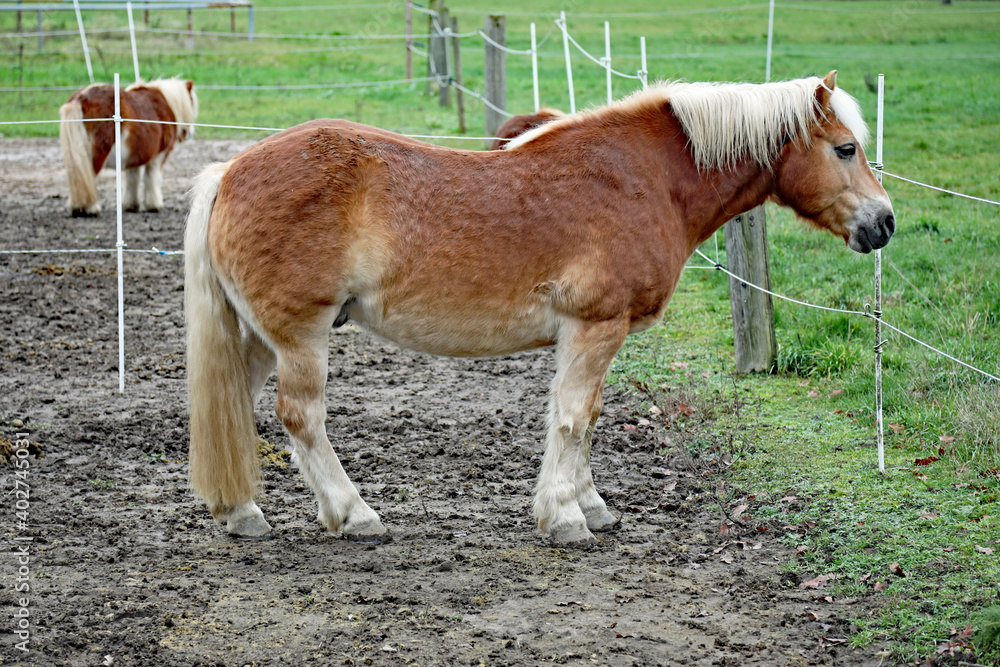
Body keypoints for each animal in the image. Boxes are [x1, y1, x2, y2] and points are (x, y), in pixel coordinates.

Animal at [59, 77, 198, 217]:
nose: (190, 133)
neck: (166, 104)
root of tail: (81, 97)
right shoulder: (158, 157)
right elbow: (152, 179)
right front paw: (153, 205)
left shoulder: (134, 157)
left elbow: (133, 179)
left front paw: (131, 205)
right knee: (89, 179)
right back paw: (89, 209)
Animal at [184, 71, 894, 546]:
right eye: (846, 148)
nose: (884, 223)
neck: (648, 179)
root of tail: (229, 171)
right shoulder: (594, 327)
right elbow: (574, 417)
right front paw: (565, 516)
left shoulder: (592, 336)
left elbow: (588, 416)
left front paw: (590, 504)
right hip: (301, 336)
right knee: (301, 417)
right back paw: (355, 514)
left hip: (259, 337)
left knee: (239, 404)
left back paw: (241, 513)